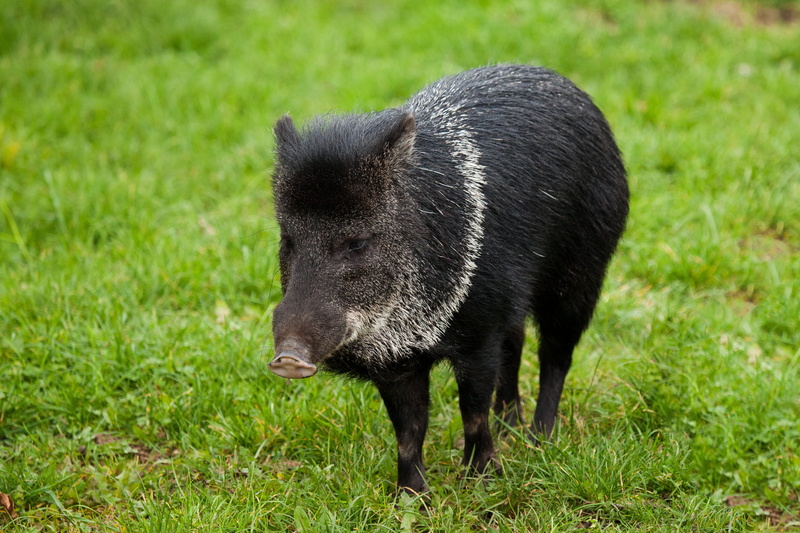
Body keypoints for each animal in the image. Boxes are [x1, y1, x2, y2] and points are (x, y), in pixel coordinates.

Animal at [268, 64, 629, 496]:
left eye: (356, 243)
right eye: (288, 240)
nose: (288, 358)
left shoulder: (479, 337)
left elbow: (472, 411)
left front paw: (481, 481)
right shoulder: (397, 361)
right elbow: (409, 431)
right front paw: (411, 497)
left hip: (580, 277)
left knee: (555, 356)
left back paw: (539, 440)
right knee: (517, 344)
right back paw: (510, 429)